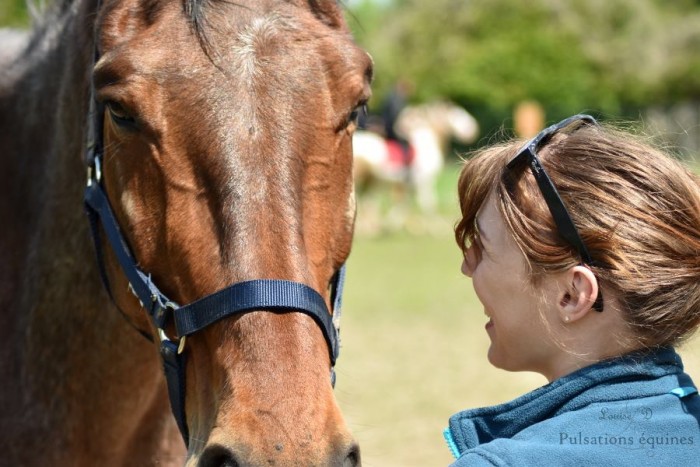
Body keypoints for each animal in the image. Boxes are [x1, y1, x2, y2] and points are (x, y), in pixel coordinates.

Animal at [352, 103, 478, 234]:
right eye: (457, 114)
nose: (473, 130)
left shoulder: (410, 184)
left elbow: (404, 203)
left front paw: (396, 224)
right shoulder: (424, 181)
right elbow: (427, 202)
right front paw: (431, 227)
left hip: (371, 180)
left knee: (368, 200)